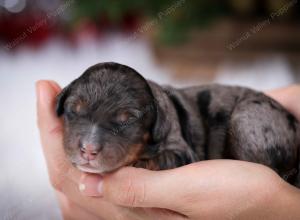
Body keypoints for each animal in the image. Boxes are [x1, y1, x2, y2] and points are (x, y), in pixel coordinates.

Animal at [56, 61, 300, 186]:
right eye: (73, 109)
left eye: (129, 120)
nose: (88, 149)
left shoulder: (182, 152)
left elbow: (163, 157)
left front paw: (139, 163)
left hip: (248, 118)